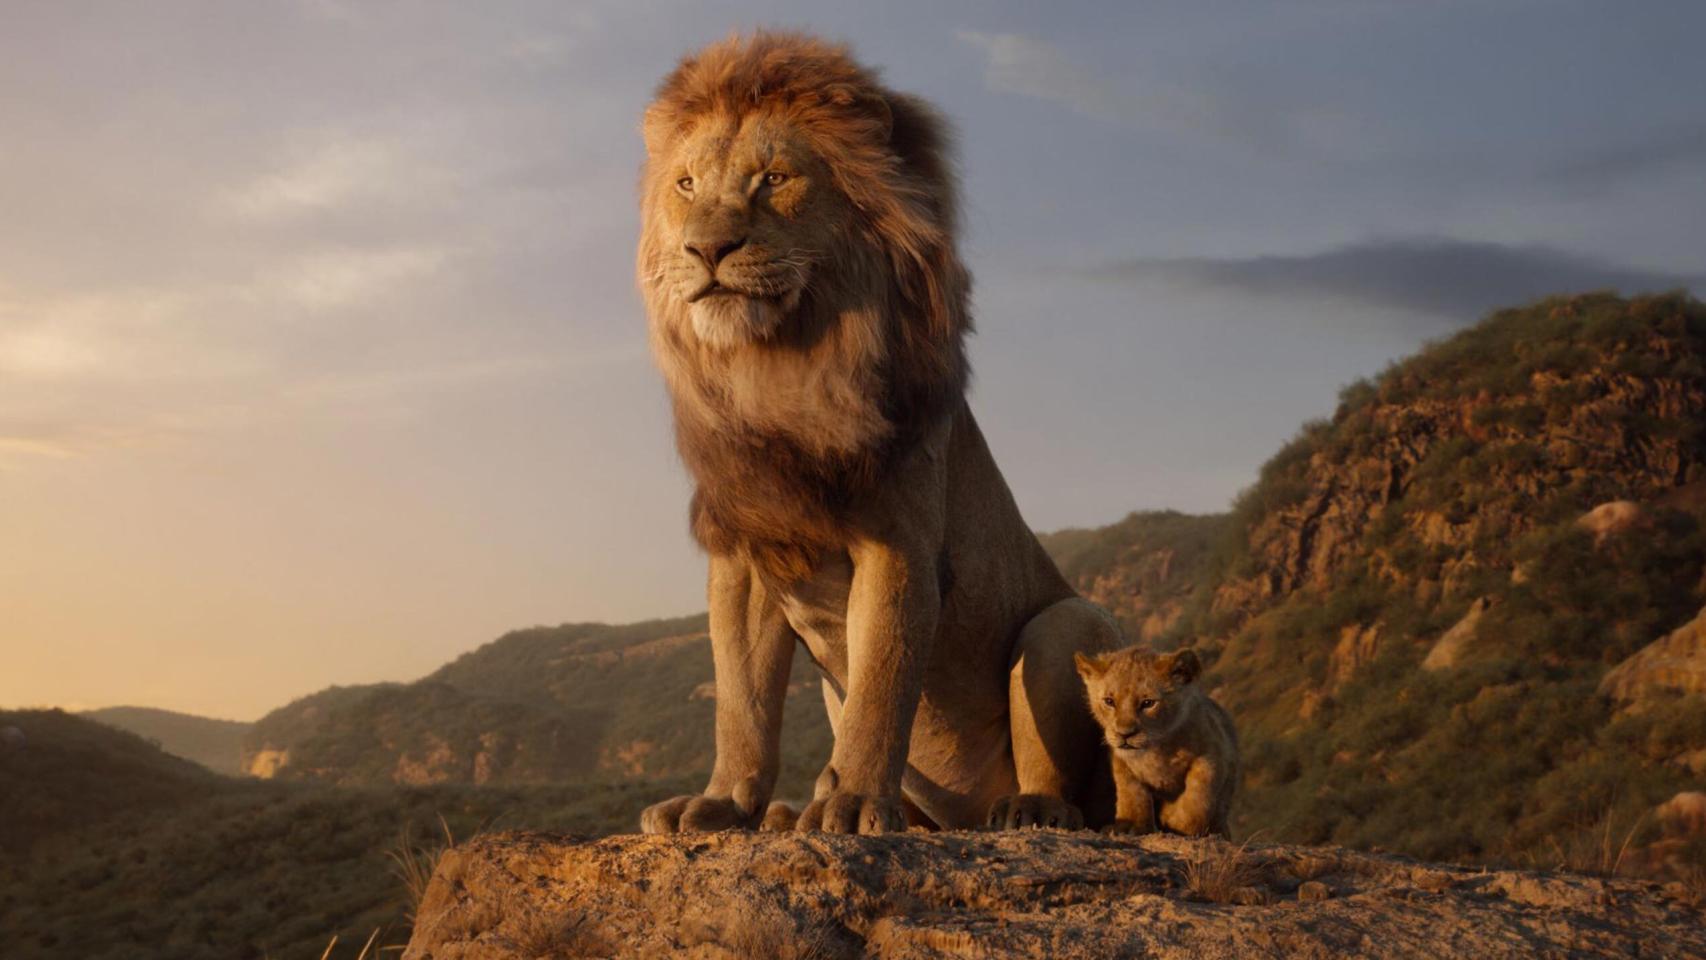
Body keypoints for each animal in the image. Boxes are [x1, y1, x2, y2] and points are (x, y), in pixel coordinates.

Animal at [634, 32, 1120, 835]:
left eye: (774, 179)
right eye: (686, 185)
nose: (707, 250)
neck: (779, 370)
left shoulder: (899, 545)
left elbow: (881, 687)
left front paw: (856, 802)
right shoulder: (745, 553)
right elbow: (741, 702)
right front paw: (722, 802)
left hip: (1066, 624)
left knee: (1070, 787)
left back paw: (1026, 809)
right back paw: (789, 813)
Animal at [1074, 647, 1239, 838]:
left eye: (1148, 703)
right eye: (1109, 701)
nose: (1124, 734)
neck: (1156, 749)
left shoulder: (1212, 754)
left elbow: (1198, 795)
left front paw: (1176, 820)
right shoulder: (1121, 762)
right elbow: (1131, 793)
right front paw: (1130, 826)